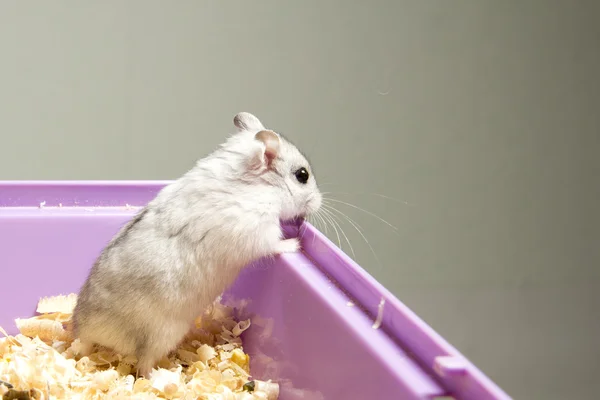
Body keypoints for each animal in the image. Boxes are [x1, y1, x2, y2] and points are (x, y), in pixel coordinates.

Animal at [71, 112, 324, 378]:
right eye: (302, 175)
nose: (319, 202)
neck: (255, 184)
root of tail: (86, 331)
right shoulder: (258, 232)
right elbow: (274, 245)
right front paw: (296, 243)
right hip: (161, 334)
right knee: (143, 365)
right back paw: (162, 376)